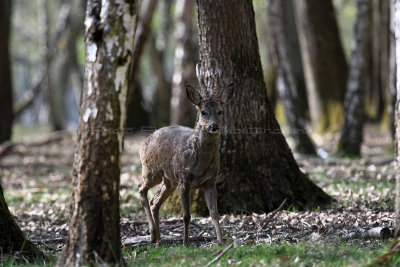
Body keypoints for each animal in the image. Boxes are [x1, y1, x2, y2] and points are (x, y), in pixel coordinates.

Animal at [139, 59, 234, 246]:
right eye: (203, 112)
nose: (214, 126)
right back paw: (153, 234)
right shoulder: (184, 178)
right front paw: (185, 242)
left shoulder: (211, 180)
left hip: (168, 179)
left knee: (155, 201)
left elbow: (214, 213)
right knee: (141, 189)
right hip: (151, 170)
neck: (200, 163)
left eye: (220, 111)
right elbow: (186, 215)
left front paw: (221, 241)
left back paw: (158, 239)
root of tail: (144, 142)